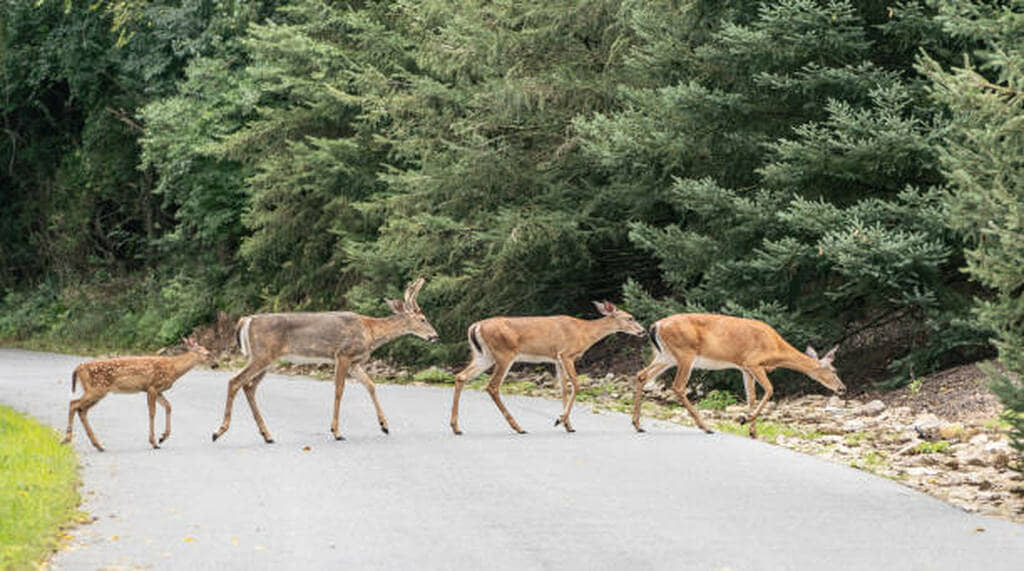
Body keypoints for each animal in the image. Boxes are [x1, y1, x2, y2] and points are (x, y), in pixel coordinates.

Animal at [62, 337, 215, 451]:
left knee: (81, 410)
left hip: (95, 391)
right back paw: (68, 439)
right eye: (207, 353)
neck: (173, 368)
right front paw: (154, 442)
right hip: (96, 389)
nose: (216, 365)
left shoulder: (157, 390)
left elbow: (168, 406)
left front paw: (162, 437)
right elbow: (152, 413)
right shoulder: (152, 387)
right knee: (74, 404)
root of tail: (78, 368)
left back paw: (98, 445)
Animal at [212, 277, 439, 443]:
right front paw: (336, 432)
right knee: (235, 381)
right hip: (262, 355)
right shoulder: (343, 354)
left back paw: (267, 435)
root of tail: (246, 320)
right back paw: (219, 431)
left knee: (248, 387)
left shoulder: (355, 362)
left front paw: (384, 426)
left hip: (267, 360)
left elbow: (371, 385)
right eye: (423, 319)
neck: (371, 332)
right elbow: (339, 390)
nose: (435, 336)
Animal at [450, 301, 646, 435]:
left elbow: (564, 389)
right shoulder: (566, 354)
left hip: (484, 355)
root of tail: (476, 326)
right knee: (492, 386)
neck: (584, 333)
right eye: (630, 318)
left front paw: (568, 425)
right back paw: (518, 427)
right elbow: (576, 385)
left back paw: (456, 427)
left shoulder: (557, 359)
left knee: (461, 376)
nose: (643, 331)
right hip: (504, 354)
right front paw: (560, 420)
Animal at [631, 313, 846, 438]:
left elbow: (751, 396)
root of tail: (656, 326)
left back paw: (637, 424)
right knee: (678, 386)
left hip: (666, 355)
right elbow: (769, 390)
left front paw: (752, 430)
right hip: (685, 353)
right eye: (834, 371)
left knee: (641, 375)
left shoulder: (744, 368)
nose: (842, 388)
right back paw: (706, 426)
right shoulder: (753, 362)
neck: (775, 350)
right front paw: (744, 419)